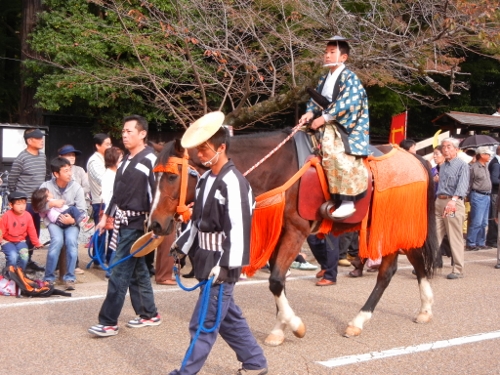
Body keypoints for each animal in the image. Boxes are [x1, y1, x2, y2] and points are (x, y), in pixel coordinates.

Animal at [148, 129, 438, 346]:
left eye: (172, 176)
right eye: (154, 176)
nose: (155, 223)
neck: (278, 169)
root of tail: (417, 160)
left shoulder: (296, 231)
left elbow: (276, 280)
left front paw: (296, 325)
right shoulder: (278, 233)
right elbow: (279, 281)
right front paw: (280, 329)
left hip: (396, 225)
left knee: (390, 271)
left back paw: (367, 319)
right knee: (412, 263)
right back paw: (420, 311)